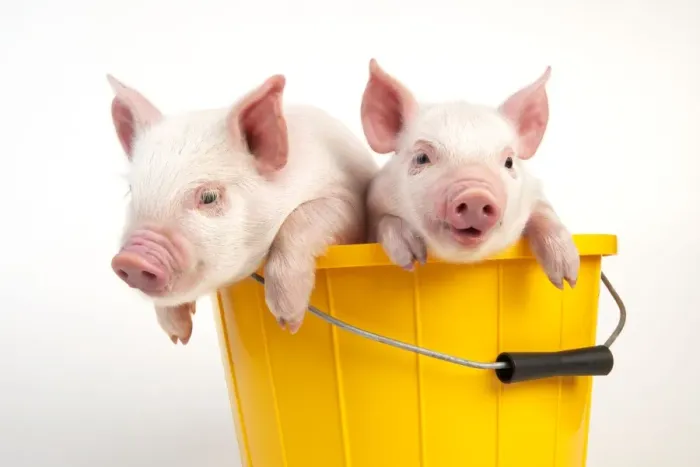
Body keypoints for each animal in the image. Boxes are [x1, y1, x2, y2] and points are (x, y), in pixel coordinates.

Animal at [107, 73, 378, 343]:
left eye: (209, 197)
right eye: (131, 190)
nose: (131, 259)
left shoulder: (346, 201)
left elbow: (300, 221)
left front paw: (288, 324)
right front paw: (178, 336)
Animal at [360, 59, 579, 289]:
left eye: (509, 162)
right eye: (421, 158)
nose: (476, 195)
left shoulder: (534, 193)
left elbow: (545, 213)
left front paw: (568, 280)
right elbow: (385, 221)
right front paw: (412, 260)